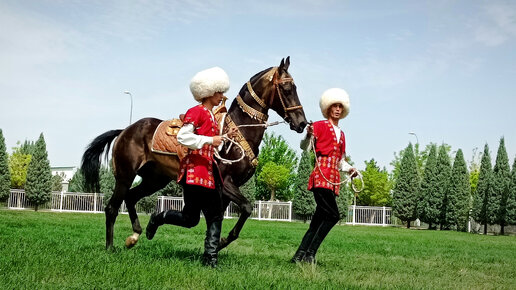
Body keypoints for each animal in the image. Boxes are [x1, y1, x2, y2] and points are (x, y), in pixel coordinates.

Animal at [80, 56, 306, 249]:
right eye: (287, 88)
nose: (302, 123)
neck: (238, 133)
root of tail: (124, 130)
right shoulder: (226, 183)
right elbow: (247, 207)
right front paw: (221, 243)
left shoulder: (223, 192)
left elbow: (217, 219)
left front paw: (216, 246)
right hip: (125, 176)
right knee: (112, 208)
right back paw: (111, 247)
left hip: (154, 180)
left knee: (132, 198)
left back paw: (137, 233)